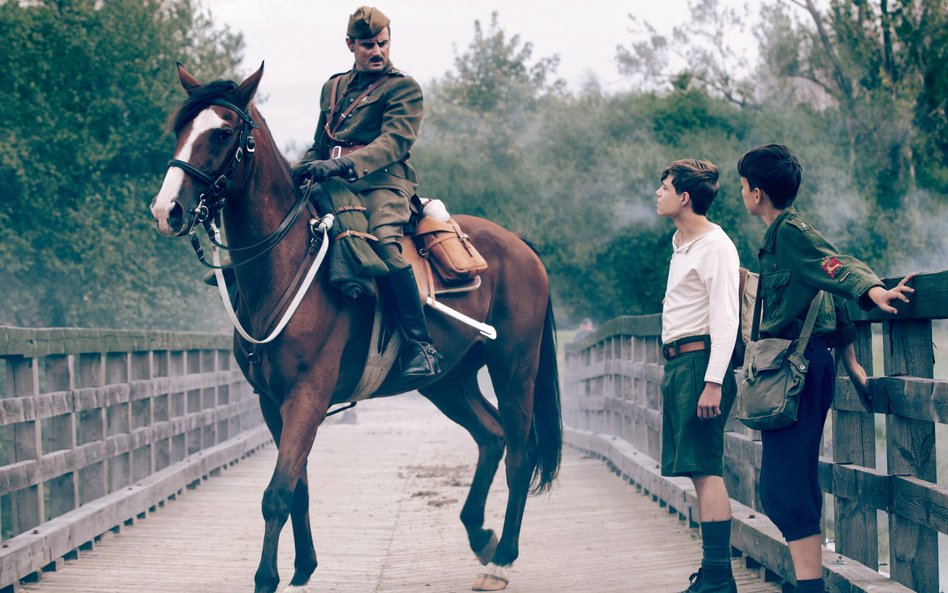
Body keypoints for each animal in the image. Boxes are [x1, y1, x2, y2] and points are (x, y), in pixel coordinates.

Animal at [149, 65, 564, 592]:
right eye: (180, 129)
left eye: (222, 133)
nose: (167, 210)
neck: (284, 264)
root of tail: (520, 245)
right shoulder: (272, 402)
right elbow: (298, 487)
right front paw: (304, 566)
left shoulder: (307, 396)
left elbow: (277, 493)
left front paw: (267, 577)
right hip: (448, 381)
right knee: (491, 436)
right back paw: (479, 534)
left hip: (514, 367)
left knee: (519, 453)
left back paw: (501, 559)